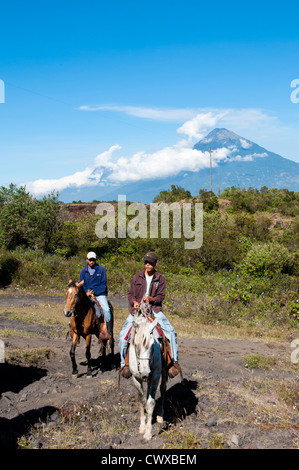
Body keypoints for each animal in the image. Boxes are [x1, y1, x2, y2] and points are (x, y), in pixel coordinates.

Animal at [129, 304, 169, 440]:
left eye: (152, 344)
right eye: (135, 345)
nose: (145, 373)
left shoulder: (155, 376)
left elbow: (151, 402)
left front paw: (148, 433)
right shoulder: (136, 378)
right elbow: (141, 400)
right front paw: (142, 426)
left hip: (163, 373)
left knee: (162, 389)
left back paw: (160, 416)